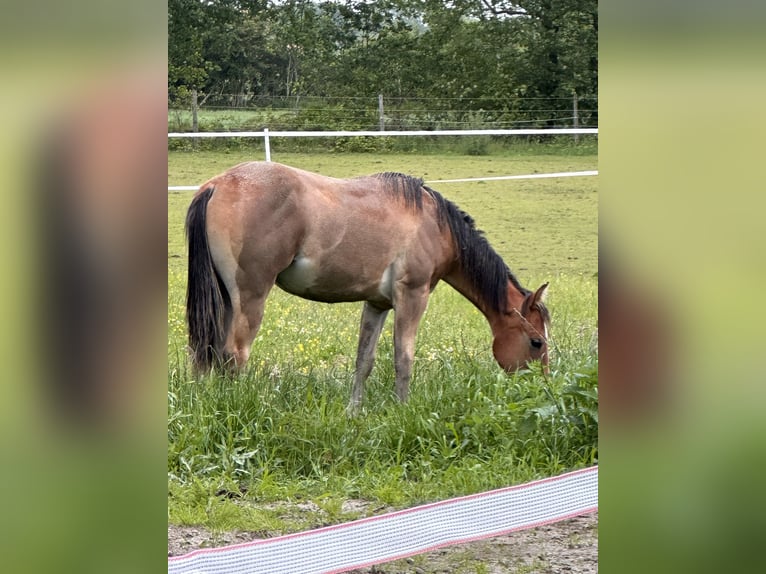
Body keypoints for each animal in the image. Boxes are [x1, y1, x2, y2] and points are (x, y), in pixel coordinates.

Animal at [185, 161, 550, 412]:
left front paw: (354, 411)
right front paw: (402, 410)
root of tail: (217, 185)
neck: (435, 224)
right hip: (249, 298)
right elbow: (403, 359)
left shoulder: (377, 304)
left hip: (225, 299)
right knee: (233, 354)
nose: (543, 389)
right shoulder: (412, 297)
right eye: (536, 342)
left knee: (207, 350)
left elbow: (365, 360)